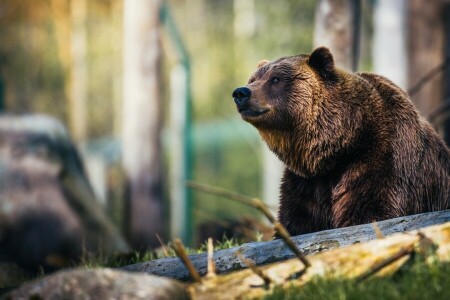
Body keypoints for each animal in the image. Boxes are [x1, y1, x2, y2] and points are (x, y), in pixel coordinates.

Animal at [232, 47, 450, 236]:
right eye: (253, 79)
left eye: (275, 79)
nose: (241, 92)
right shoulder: (306, 183)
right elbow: (296, 221)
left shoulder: (382, 160)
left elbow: (370, 211)